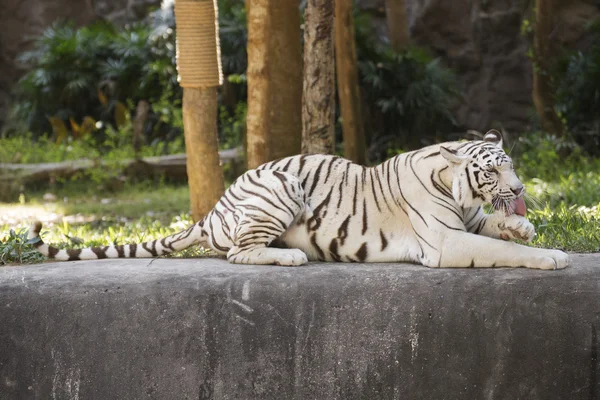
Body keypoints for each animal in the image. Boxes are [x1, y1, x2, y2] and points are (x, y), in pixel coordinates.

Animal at [29, 130, 572, 270]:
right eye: (492, 170)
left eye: (511, 164)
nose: (520, 190)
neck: (458, 191)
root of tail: (212, 210)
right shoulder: (445, 242)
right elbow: (503, 250)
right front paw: (550, 256)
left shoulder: (469, 222)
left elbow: (500, 230)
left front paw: (523, 226)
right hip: (281, 186)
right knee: (238, 252)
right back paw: (290, 256)